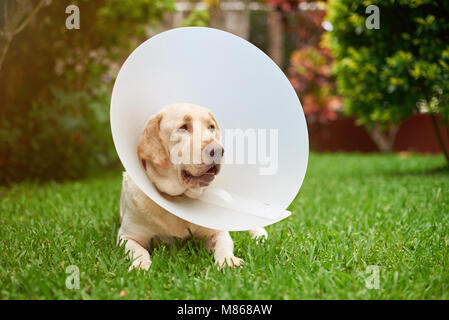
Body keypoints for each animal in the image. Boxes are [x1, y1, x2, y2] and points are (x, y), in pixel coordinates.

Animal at [118, 102, 266, 270]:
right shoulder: (126, 237)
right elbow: (138, 251)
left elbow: (224, 243)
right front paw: (141, 266)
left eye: (211, 127)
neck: (178, 198)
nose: (218, 151)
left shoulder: (216, 231)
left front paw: (228, 261)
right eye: (183, 127)